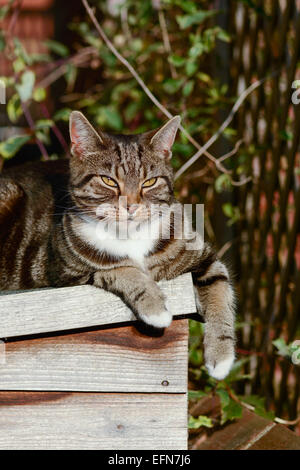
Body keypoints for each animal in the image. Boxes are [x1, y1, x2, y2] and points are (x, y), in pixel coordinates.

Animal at [0, 112, 234, 380]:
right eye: (108, 181)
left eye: (149, 182)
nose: (131, 206)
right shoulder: (67, 273)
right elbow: (123, 270)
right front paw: (156, 307)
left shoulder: (203, 257)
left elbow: (219, 291)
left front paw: (221, 358)